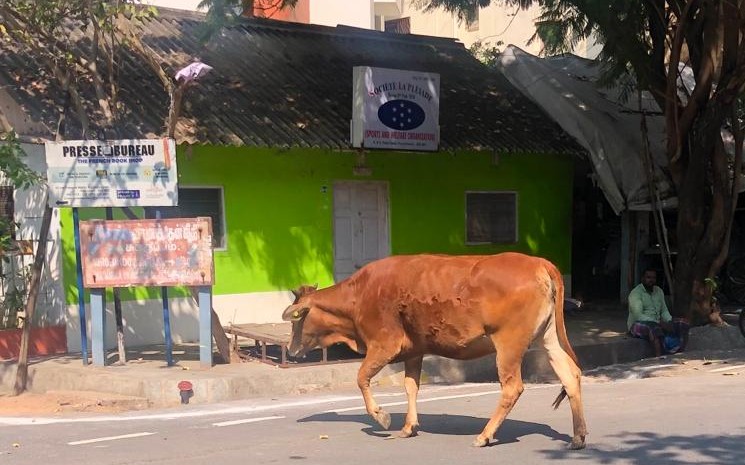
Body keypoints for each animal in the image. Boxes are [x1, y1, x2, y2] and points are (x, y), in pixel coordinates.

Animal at [280, 252, 588, 448]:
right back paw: (578, 436)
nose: (291, 348)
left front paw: (382, 416)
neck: (358, 295)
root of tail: (538, 262)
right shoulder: (414, 349)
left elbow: (361, 378)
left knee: (513, 387)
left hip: (508, 343)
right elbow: (410, 387)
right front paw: (408, 427)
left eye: (296, 320)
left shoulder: (384, 344)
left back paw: (484, 435)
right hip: (547, 337)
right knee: (570, 374)